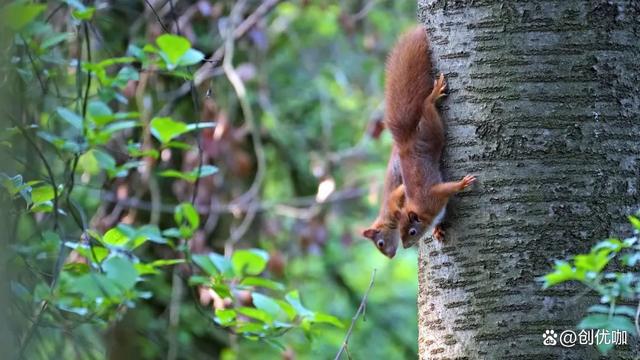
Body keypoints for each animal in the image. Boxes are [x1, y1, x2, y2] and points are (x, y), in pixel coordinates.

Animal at [380, 26, 476, 248]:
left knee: (426, 106)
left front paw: (462, 183)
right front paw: (438, 230)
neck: (422, 211)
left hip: (431, 129)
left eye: (412, 231)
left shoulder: (433, 197)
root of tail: (405, 142)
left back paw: (433, 96)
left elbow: (447, 188)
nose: (406, 246)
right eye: (398, 231)